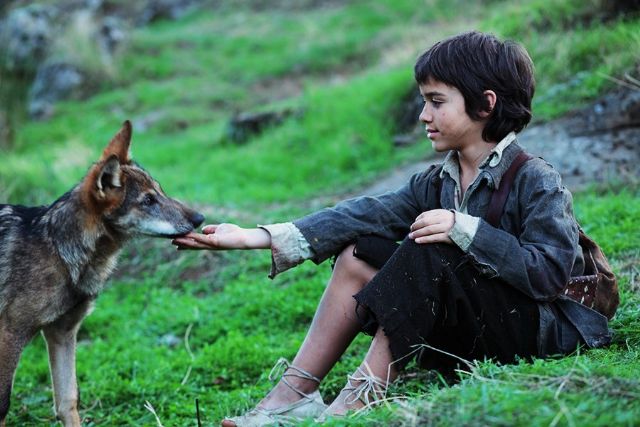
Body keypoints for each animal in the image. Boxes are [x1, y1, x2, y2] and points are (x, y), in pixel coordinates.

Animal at [0, 121, 204, 426]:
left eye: (161, 191)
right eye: (148, 201)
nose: (200, 219)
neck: (58, 251)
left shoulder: (62, 333)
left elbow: (68, 401)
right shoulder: (10, 333)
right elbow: (3, 405)